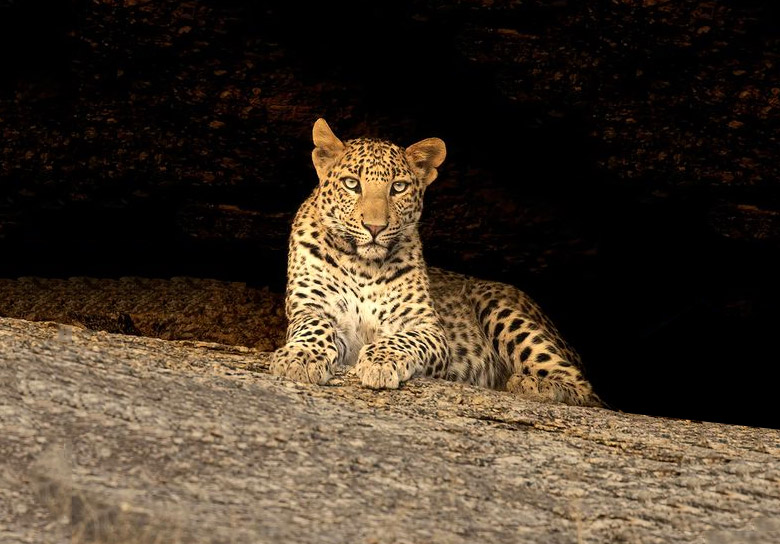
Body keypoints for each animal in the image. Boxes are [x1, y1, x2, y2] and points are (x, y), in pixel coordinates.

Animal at [272, 120, 608, 408]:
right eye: (352, 184)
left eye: (398, 187)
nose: (375, 227)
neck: (362, 265)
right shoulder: (312, 309)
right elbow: (314, 328)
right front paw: (299, 358)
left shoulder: (427, 327)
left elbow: (401, 340)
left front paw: (379, 362)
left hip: (498, 306)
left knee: (586, 389)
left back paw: (532, 384)